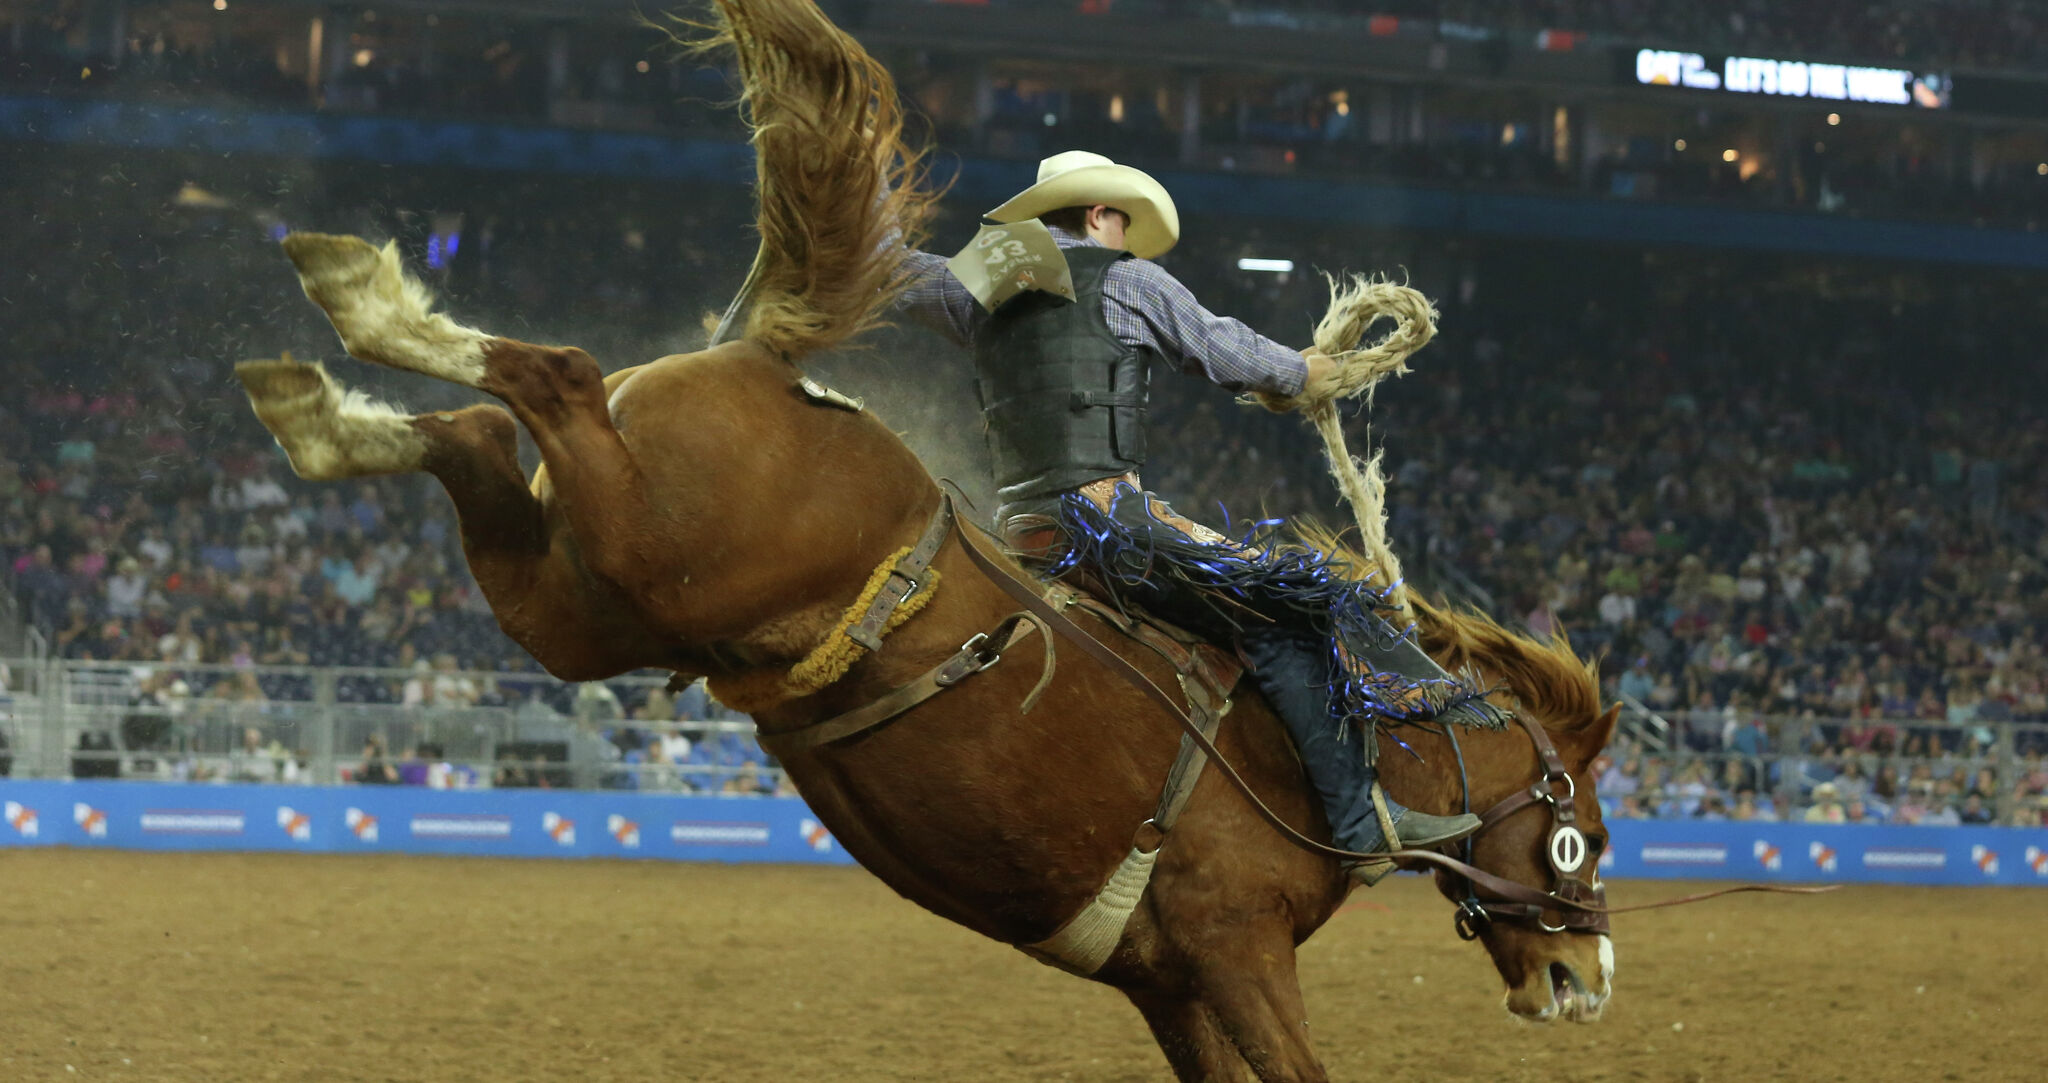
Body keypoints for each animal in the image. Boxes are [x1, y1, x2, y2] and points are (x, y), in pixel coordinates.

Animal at [243, 4, 1646, 1072]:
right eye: (1582, 822)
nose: (1582, 976)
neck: (1328, 750)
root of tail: (768, 356)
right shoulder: (1236, 952)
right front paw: (1316, 369)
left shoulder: (1170, 983)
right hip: (650, 549)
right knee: (550, 377)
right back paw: (361, 299)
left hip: (590, 603)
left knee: (479, 441)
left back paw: (324, 388)